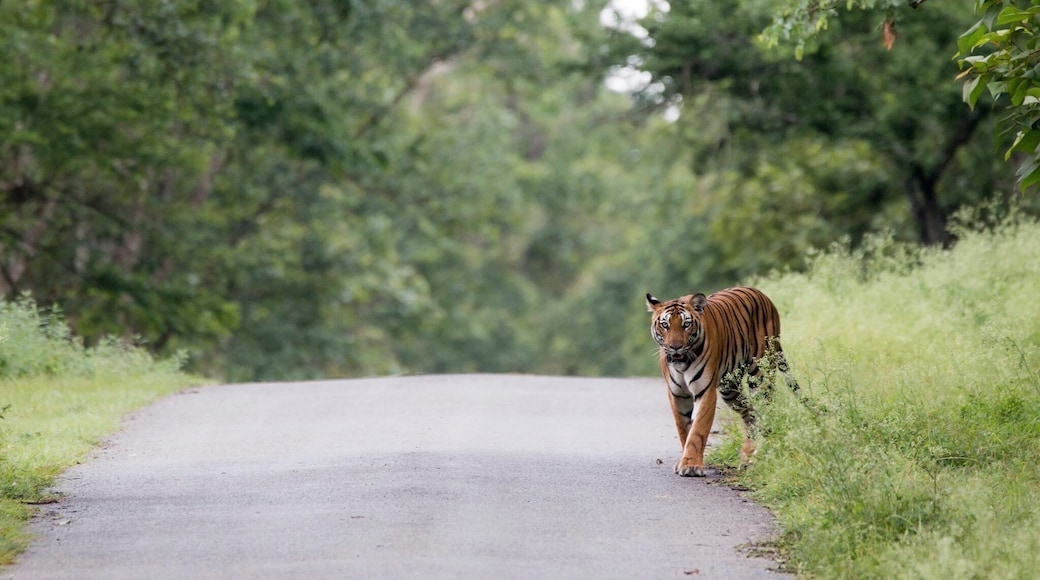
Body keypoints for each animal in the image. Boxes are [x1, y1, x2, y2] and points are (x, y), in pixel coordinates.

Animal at [645, 286, 798, 477]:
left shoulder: (705, 391)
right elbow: (683, 429)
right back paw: (748, 455)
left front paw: (691, 465)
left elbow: (698, 430)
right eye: (665, 325)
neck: (683, 363)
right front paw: (684, 461)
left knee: (766, 412)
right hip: (730, 389)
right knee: (750, 413)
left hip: (761, 377)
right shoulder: (677, 394)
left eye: (686, 324)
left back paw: (763, 452)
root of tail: (764, 296)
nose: (675, 347)